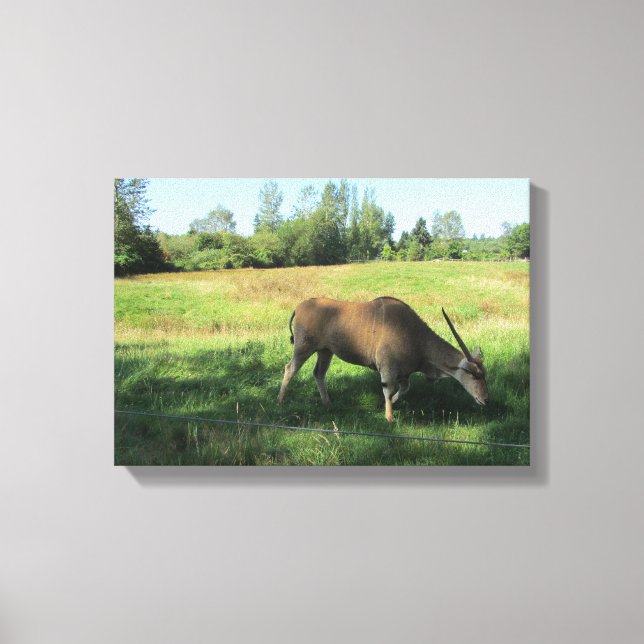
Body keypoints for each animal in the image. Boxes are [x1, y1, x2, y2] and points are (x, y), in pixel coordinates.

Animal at [277, 297, 488, 422]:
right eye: (472, 373)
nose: (485, 399)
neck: (414, 334)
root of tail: (299, 306)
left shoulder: (404, 373)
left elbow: (404, 389)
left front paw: (387, 405)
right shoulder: (388, 368)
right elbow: (388, 390)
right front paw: (389, 417)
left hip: (325, 351)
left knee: (318, 374)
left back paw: (328, 404)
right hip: (304, 347)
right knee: (290, 368)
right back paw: (280, 401)